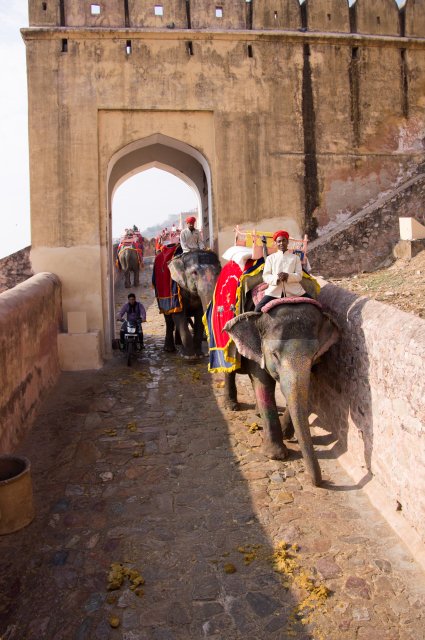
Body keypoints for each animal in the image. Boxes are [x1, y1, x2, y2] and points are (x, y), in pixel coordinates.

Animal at [222, 300, 338, 484]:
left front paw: (286, 435)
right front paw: (276, 455)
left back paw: (256, 412)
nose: (322, 482)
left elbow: (308, 386)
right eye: (275, 355)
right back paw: (231, 405)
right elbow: (263, 384)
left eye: (314, 355)